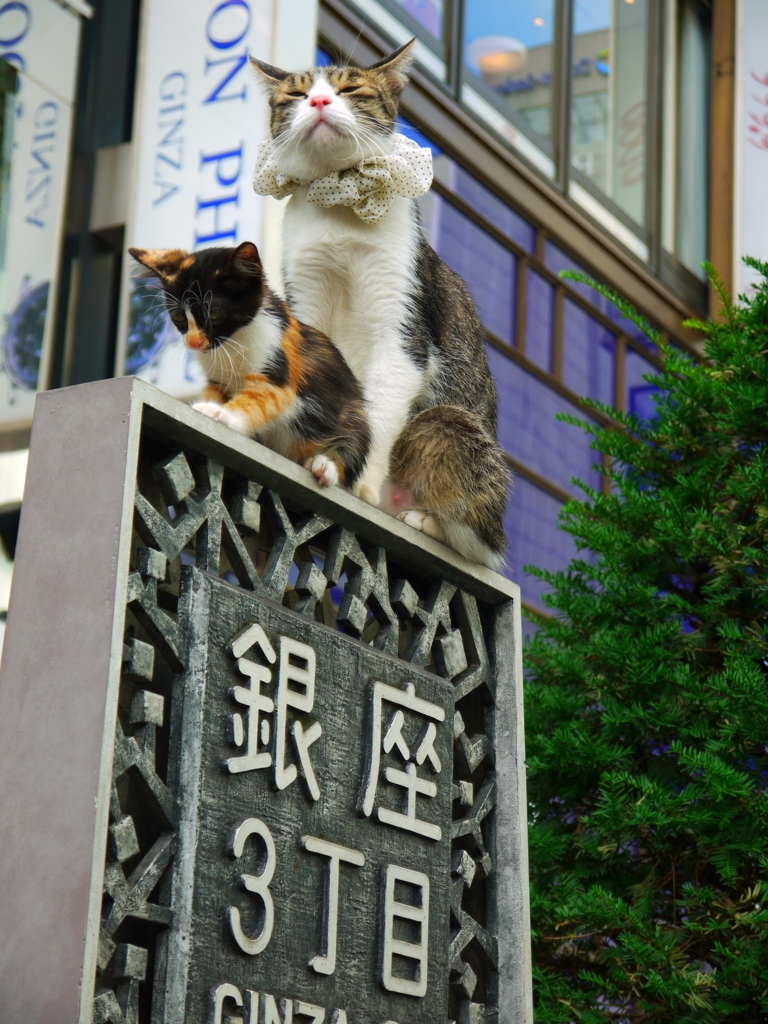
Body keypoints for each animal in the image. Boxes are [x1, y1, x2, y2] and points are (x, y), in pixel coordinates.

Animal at [129, 243, 372, 491]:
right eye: (179, 316)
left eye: (213, 313)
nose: (194, 342)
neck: (231, 342)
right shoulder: (217, 379)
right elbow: (215, 392)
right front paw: (208, 405)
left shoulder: (278, 365)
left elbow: (259, 399)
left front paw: (221, 413)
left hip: (353, 415)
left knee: (353, 448)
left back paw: (325, 467)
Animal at [249, 39, 512, 569]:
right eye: (297, 94)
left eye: (351, 88)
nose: (320, 101)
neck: (340, 206)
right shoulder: (306, 296)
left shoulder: (403, 325)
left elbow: (384, 404)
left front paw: (354, 482)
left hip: (448, 424)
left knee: (479, 547)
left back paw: (419, 518)